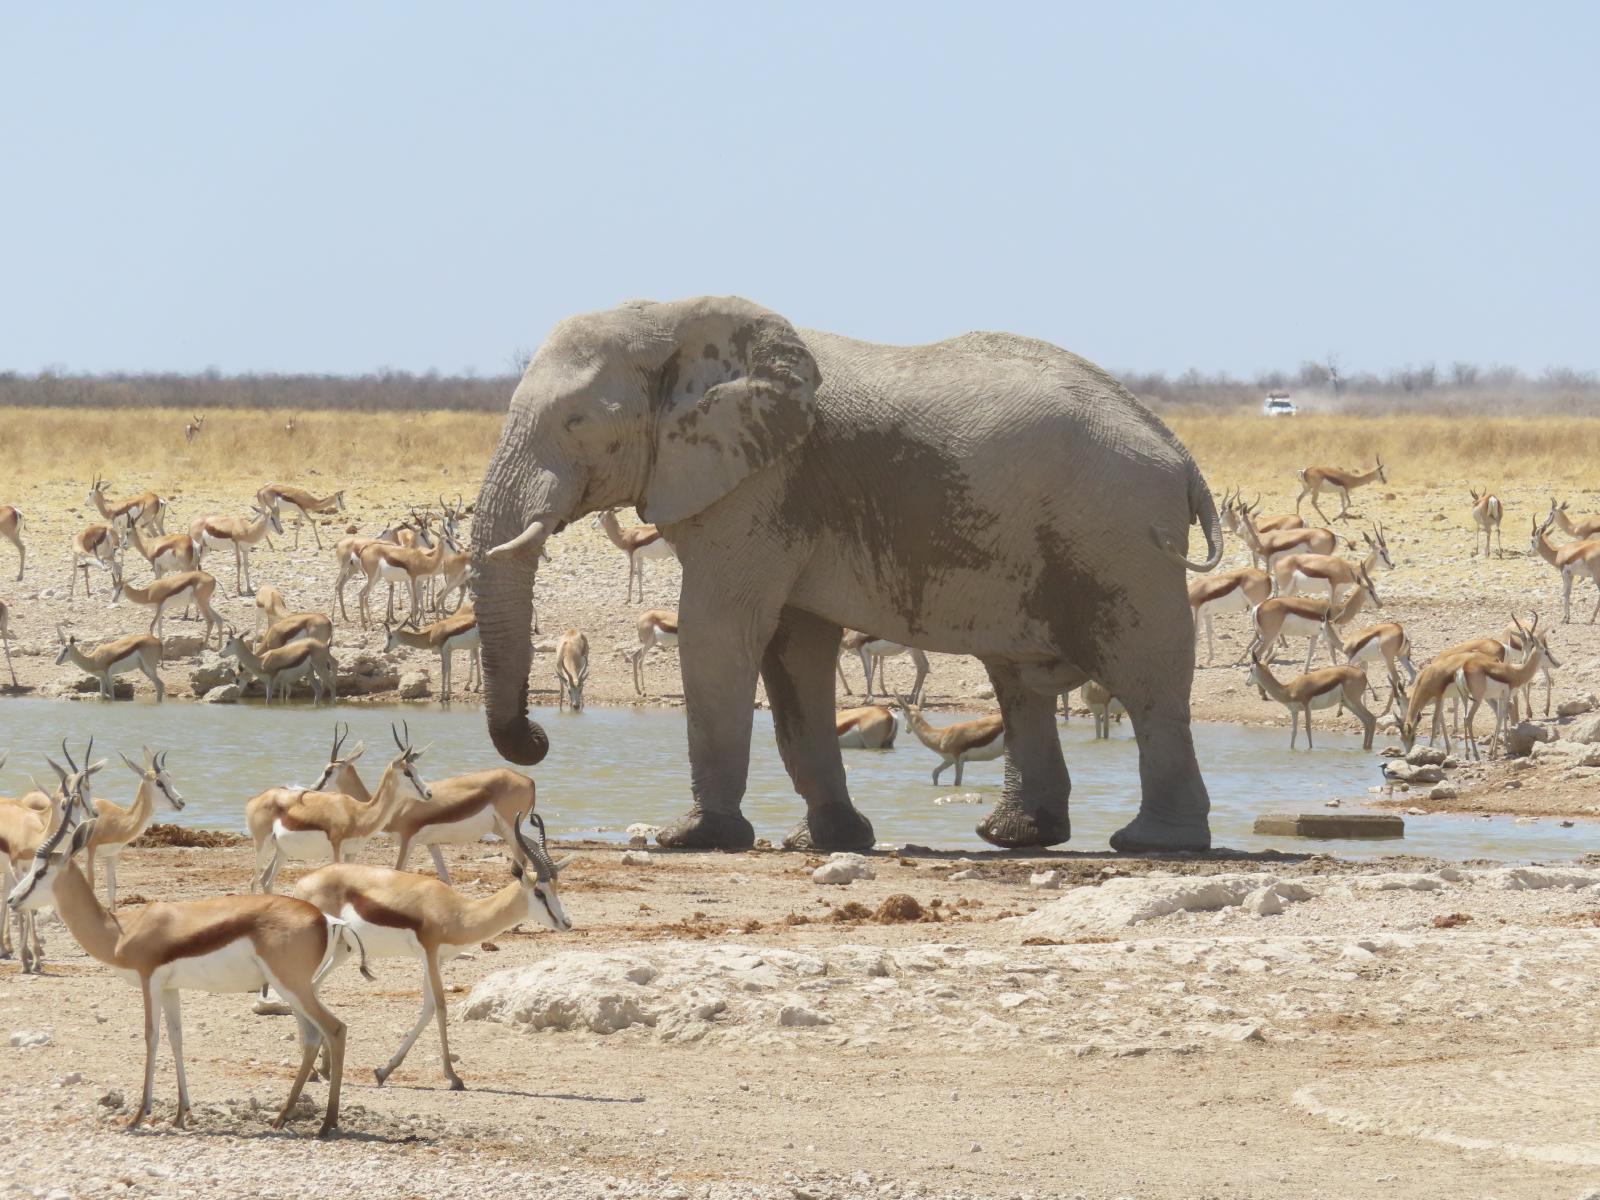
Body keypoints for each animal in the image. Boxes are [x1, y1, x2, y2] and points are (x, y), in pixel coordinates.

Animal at [473, 296, 1223, 853]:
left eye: (576, 422)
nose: (538, 738)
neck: (674, 321)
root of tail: (1182, 455)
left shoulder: (762, 484)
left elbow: (719, 633)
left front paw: (689, 838)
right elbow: (794, 651)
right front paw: (831, 840)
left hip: (1122, 539)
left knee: (1147, 680)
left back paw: (1153, 843)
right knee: (1019, 684)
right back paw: (1014, 836)